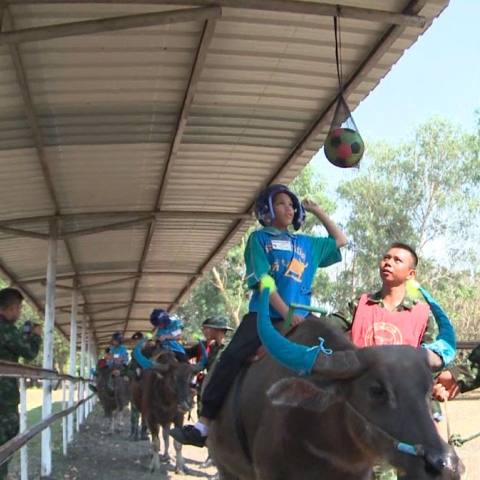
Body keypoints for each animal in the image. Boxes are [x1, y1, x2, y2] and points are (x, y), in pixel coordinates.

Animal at [130, 346, 196, 474]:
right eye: (172, 377)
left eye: (189, 377)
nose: (188, 403)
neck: (166, 400)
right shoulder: (151, 418)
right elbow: (155, 443)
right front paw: (154, 466)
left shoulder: (178, 417)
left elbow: (177, 443)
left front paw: (180, 466)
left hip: (166, 420)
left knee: (165, 435)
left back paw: (166, 455)